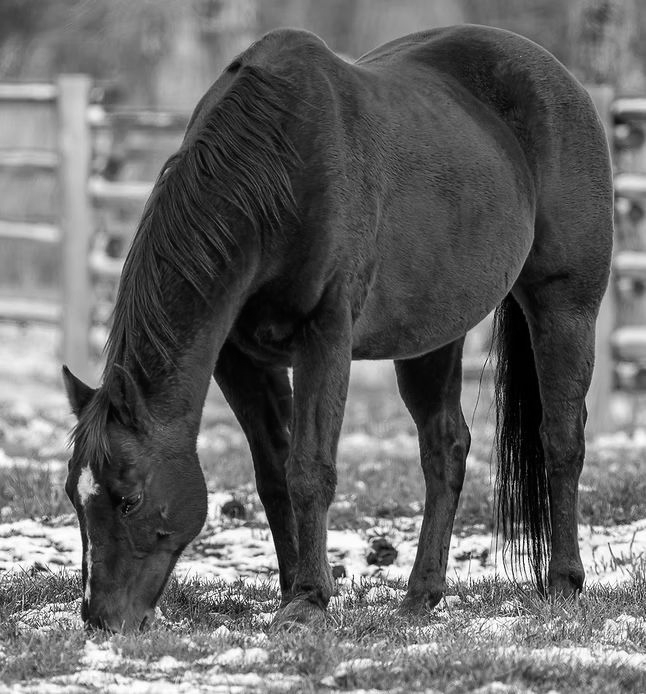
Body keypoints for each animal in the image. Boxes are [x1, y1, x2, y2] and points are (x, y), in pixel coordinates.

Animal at [63, 24, 613, 632]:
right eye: (73, 497)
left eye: (129, 498)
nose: (99, 618)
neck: (277, 172)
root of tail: (559, 78)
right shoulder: (240, 357)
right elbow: (274, 473)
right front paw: (290, 590)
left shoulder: (323, 337)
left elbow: (309, 469)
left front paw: (308, 600)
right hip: (432, 336)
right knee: (445, 448)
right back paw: (421, 594)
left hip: (565, 308)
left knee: (561, 439)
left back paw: (563, 583)